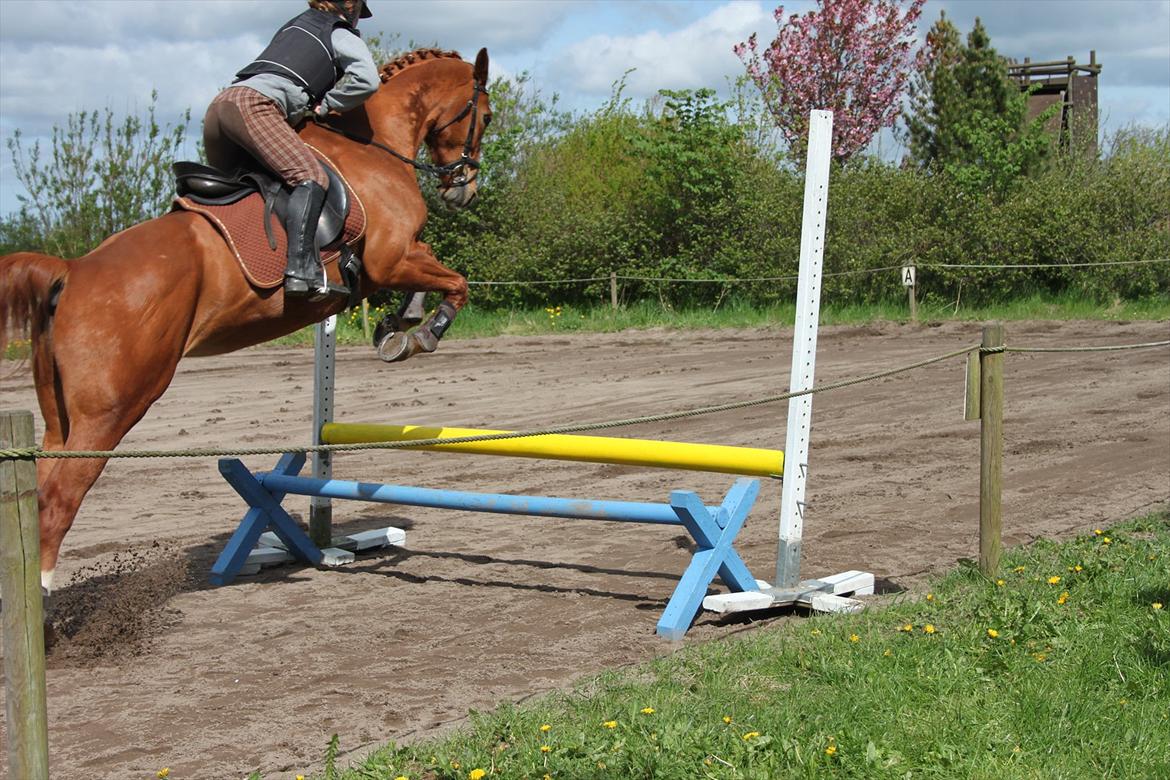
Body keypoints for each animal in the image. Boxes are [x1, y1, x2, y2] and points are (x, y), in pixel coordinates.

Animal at [0, 47, 493, 591]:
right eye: (487, 116)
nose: (464, 191)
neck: (373, 142)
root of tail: (72, 269)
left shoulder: (399, 258)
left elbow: (431, 279)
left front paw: (395, 326)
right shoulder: (391, 258)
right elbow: (456, 283)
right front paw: (421, 334)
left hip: (59, 417)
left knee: (41, 485)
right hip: (113, 407)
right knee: (59, 497)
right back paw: (42, 597)